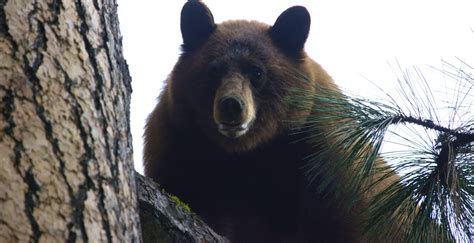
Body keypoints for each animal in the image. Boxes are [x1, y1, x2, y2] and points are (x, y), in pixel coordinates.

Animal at [143, 0, 400, 242]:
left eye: (257, 72)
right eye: (214, 70)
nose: (231, 105)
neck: (246, 155)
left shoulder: (329, 161)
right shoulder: (176, 144)